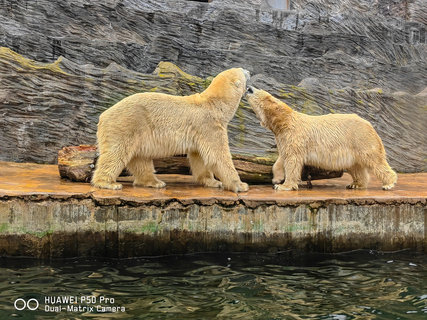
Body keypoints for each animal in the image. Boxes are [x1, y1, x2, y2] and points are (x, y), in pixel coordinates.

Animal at [91, 68, 251, 192]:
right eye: (242, 71)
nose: (249, 71)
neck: (213, 104)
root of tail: (103, 116)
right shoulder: (208, 125)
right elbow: (219, 156)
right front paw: (240, 185)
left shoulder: (199, 132)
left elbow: (199, 157)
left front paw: (213, 182)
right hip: (125, 125)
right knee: (115, 153)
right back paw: (108, 183)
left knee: (140, 158)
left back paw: (154, 182)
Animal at [246, 86, 400, 190]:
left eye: (257, 90)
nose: (249, 88)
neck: (284, 122)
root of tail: (369, 125)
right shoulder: (284, 138)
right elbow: (282, 158)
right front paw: (277, 179)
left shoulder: (295, 136)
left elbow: (292, 161)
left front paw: (284, 186)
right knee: (355, 167)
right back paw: (355, 184)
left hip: (361, 139)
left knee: (375, 161)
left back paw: (389, 183)